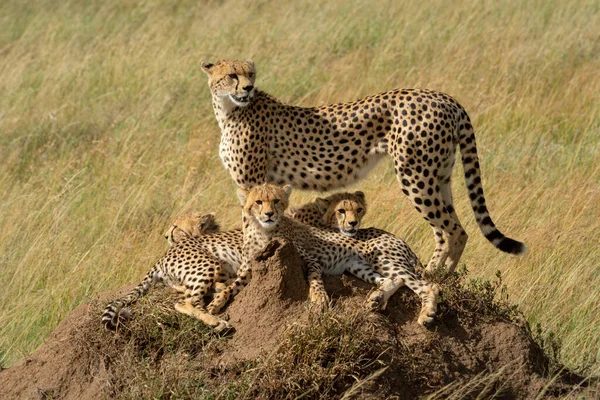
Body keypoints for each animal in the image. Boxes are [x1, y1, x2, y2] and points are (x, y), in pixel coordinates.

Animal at [103, 212, 241, 332]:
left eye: (175, 227)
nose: (165, 236)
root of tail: (161, 259)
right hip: (209, 264)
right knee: (185, 301)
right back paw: (216, 321)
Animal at [200, 59, 524, 274]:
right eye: (232, 75)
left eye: (251, 74)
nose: (248, 88)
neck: (230, 110)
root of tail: (444, 97)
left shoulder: (251, 181)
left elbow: (250, 224)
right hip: (439, 174)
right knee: (449, 230)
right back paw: (438, 273)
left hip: (415, 175)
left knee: (454, 230)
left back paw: (436, 277)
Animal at [209, 183, 438, 326]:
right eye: (258, 202)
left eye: (276, 201)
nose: (269, 214)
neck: (263, 231)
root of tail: (400, 239)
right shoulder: (251, 266)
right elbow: (231, 286)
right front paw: (216, 304)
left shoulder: (311, 259)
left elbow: (314, 277)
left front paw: (318, 298)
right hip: (357, 265)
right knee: (392, 280)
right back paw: (376, 298)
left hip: (382, 258)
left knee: (427, 285)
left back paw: (427, 314)